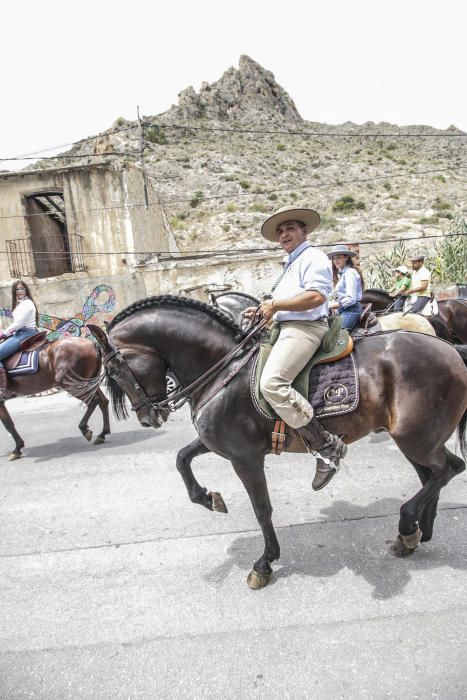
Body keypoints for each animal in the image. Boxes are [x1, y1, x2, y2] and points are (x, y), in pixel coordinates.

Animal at [88, 296, 467, 592]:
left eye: (114, 370)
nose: (148, 418)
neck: (224, 367)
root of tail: (449, 348)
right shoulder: (223, 445)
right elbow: (182, 459)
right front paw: (210, 499)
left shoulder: (245, 458)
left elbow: (261, 509)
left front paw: (264, 564)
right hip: (413, 438)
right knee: (431, 475)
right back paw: (415, 535)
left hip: (416, 438)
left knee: (449, 468)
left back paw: (408, 524)